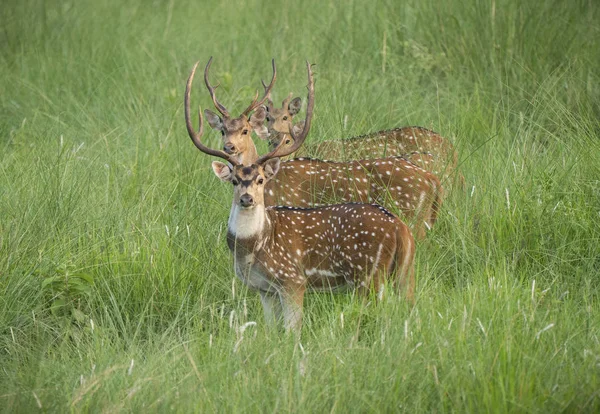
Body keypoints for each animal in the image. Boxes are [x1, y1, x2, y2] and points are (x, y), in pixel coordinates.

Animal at [185, 59, 414, 334]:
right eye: (235, 181)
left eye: (261, 179)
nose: (247, 198)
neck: (252, 249)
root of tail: (402, 229)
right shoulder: (265, 289)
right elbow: (271, 330)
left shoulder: (293, 280)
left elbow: (293, 331)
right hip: (403, 274)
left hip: (369, 273)